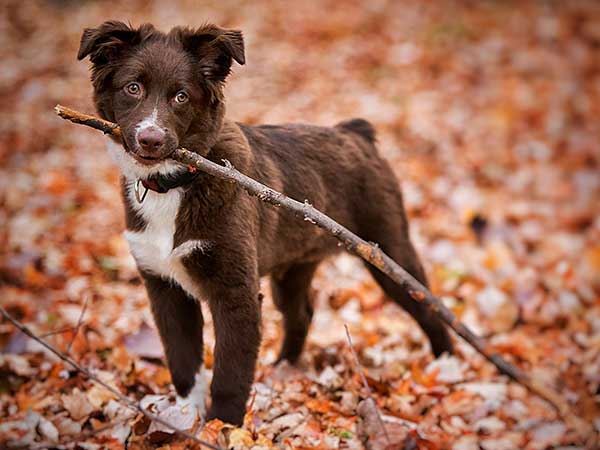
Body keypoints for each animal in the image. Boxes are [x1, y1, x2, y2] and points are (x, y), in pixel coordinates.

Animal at [78, 21, 454, 428]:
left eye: (181, 96)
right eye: (132, 88)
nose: (151, 139)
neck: (176, 183)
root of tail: (355, 132)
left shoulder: (236, 292)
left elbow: (229, 372)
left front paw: (222, 427)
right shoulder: (164, 286)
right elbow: (183, 362)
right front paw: (185, 420)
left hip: (388, 250)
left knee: (427, 304)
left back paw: (447, 366)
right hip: (293, 269)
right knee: (301, 314)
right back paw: (284, 369)